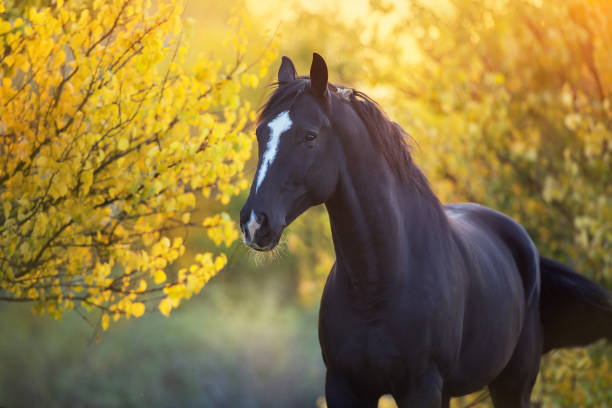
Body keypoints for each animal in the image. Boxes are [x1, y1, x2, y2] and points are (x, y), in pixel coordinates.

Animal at [239, 53, 612, 404]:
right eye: (260, 133)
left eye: (309, 136)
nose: (255, 222)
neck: (376, 284)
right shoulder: (345, 388)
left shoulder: (420, 388)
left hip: (512, 384)